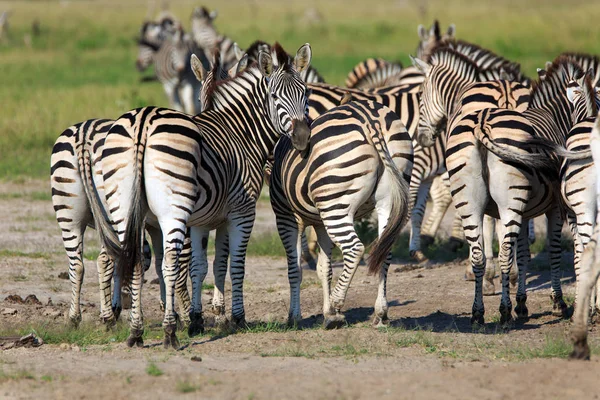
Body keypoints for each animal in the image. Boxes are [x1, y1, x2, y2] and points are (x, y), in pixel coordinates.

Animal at [51, 119, 193, 328]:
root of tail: (84, 134)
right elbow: (175, 264)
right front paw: (182, 314)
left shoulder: (154, 227)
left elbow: (154, 262)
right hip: (113, 209)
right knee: (105, 260)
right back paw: (108, 317)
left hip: (69, 213)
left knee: (78, 265)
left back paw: (75, 318)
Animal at [96, 43, 312, 348]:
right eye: (274, 96)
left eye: (306, 93)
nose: (303, 138)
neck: (241, 131)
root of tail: (143, 121)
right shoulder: (242, 212)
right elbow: (235, 266)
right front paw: (236, 318)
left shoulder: (203, 220)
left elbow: (201, 266)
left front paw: (197, 320)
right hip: (173, 210)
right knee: (170, 263)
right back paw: (169, 332)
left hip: (123, 210)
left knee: (131, 260)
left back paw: (135, 332)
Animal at [270, 99, 412, 328]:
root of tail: (371, 119)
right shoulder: (320, 223)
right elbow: (324, 268)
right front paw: (326, 312)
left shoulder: (286, 217)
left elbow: (295, 269)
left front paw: (295, 317)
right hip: (388, 199)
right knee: (384, 249)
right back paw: (380, 313)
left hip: (335, 205)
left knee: (355, 249)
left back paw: (337, 304)